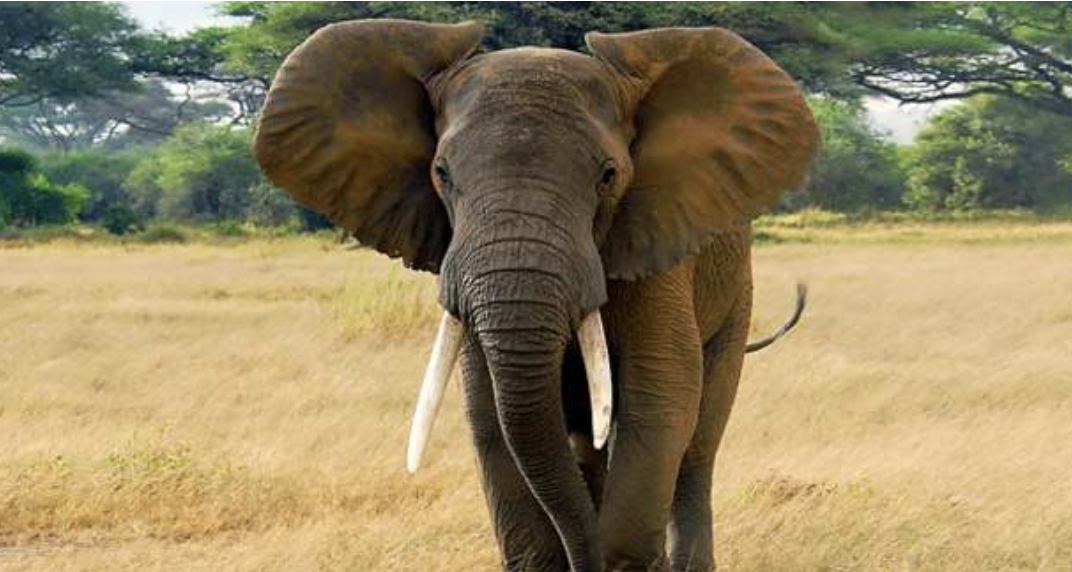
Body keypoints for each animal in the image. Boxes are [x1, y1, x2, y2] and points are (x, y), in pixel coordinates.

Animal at [253, 19, 819, 572]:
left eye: (608, 176)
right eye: (441, 173)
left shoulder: (658, 251)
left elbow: (659, 400)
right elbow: (491, 420)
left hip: (735, 301)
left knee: (698, 446)